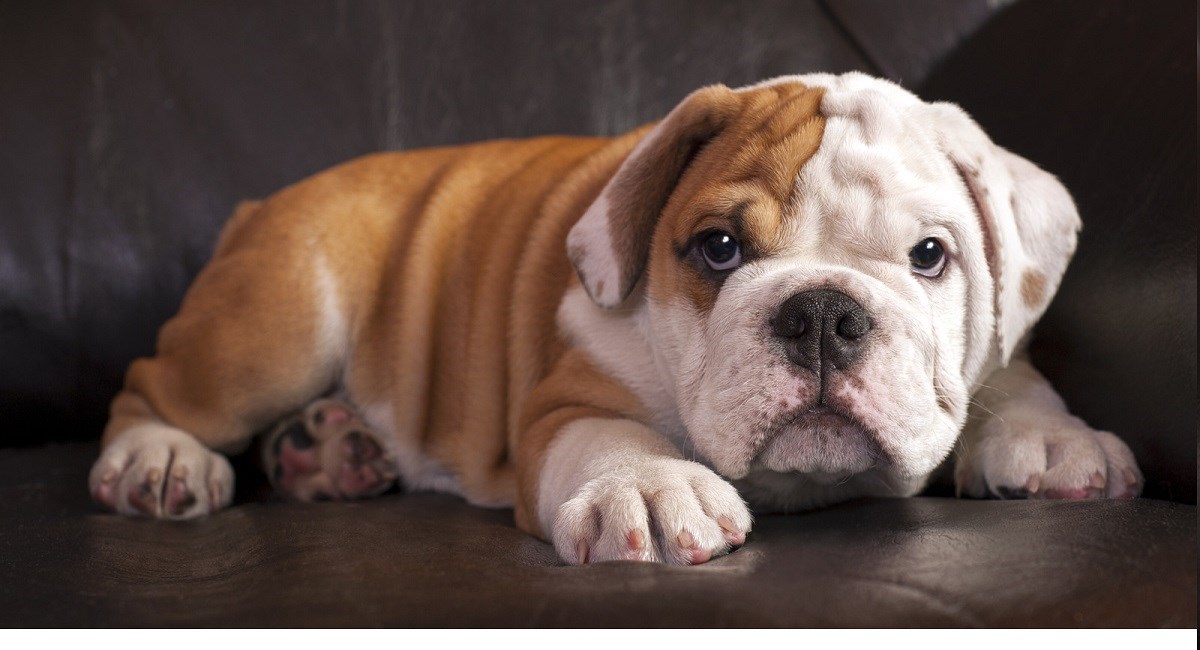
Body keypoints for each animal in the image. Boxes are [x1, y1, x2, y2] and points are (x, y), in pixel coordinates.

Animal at [87, 72, 1142, 566]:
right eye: (718, 249)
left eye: (930, 257)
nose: (822, 314)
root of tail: (258, 208)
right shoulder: (566, 401)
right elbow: (606, 439)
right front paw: (650, 488)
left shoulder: (988, 349)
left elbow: (1008, 371)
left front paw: (1054, 439)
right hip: (279, 323)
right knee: (152, 389)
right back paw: (161, 461)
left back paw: (330, 452)